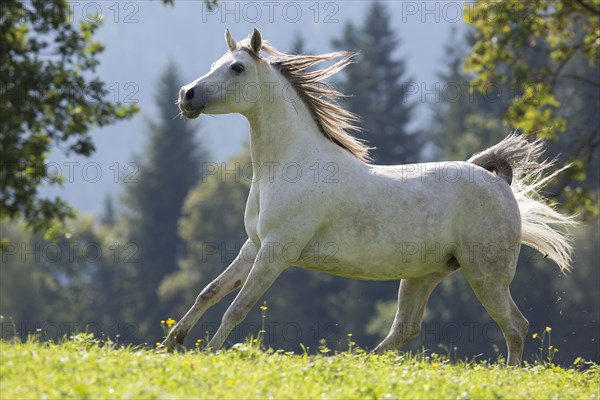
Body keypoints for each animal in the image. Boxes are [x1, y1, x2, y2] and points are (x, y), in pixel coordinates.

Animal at [159, 28, 576, 366]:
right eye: (215, 63)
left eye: (237, 68)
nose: (186, 95)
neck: (289, 166)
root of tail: (498, 182)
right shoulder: (254, 246)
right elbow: (209, 293)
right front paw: (170, 344)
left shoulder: (276, 252)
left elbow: (236, 308)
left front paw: (210, 353)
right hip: (424, 274)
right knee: (405, 328)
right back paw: (350, 361)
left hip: (485, 275)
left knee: (515, 326)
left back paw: (509, 374)